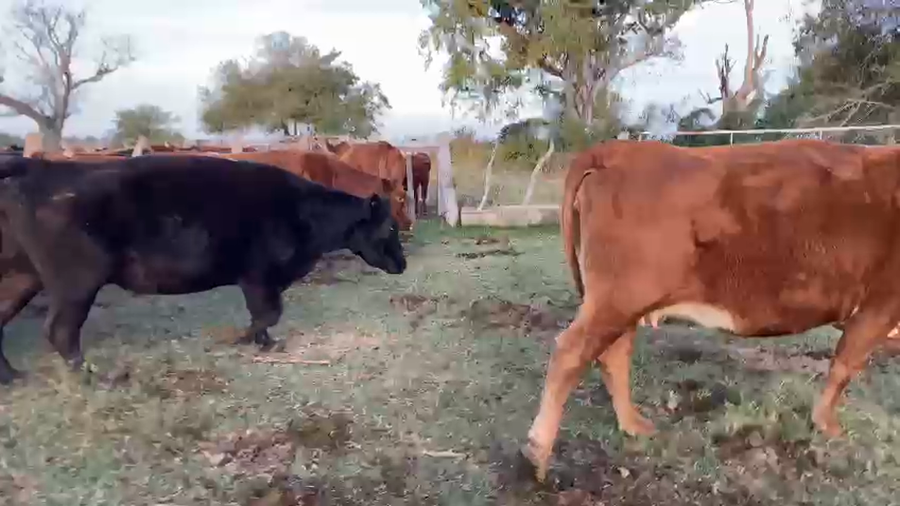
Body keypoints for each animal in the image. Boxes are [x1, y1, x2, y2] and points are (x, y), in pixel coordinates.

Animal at [0, 154, 406, 385]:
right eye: (389, 228)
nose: (402, 264)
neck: (306, 213)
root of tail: (43, 167)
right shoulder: (258, 275)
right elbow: (268, 313)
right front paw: (241, 339)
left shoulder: (258, 280)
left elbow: (265, 316)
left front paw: (263, 343)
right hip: (78, 281)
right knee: (61, 330)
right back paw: (95, 379)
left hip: (22, 277)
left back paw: (13, 378)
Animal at [522, 139, 900, 482]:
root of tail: (617, 149)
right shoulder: (880, 304)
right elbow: (844, 368)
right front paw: (828, 426)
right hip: (619, 296)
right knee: (572, 352)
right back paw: (537, 452)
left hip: (622, 303)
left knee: (612, 354)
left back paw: (632, 424)